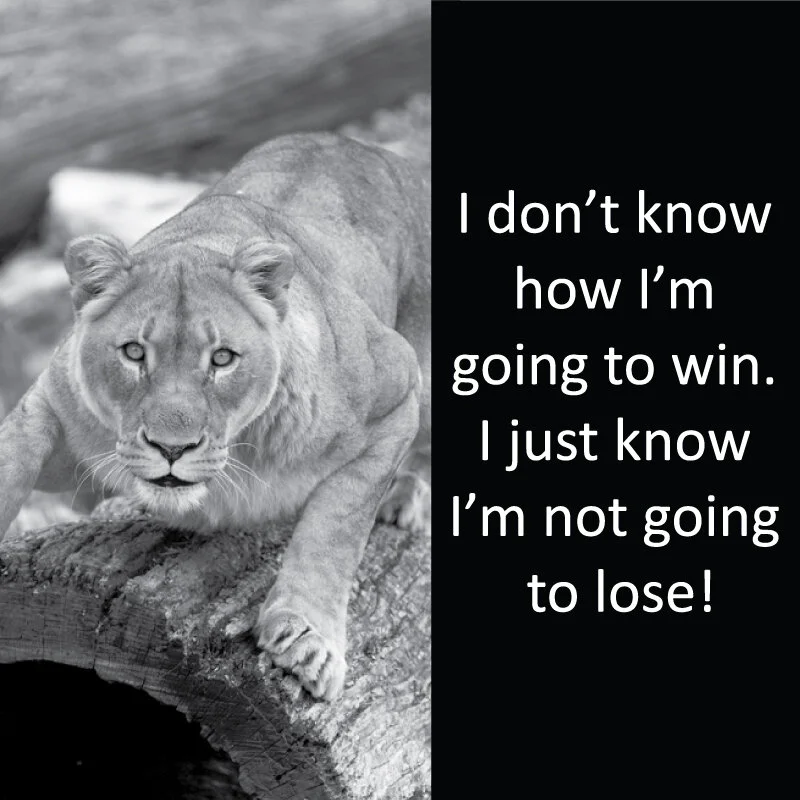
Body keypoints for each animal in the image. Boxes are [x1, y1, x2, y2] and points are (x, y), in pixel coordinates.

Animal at [0, 133, 431, 700]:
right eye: (134, 352)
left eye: (222, 358)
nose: (171, 448)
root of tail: (368, 146)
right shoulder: (49, 405)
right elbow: (10, 470)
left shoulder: (395, 386)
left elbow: (336, 527)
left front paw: (306, 638)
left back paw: (402, 497)